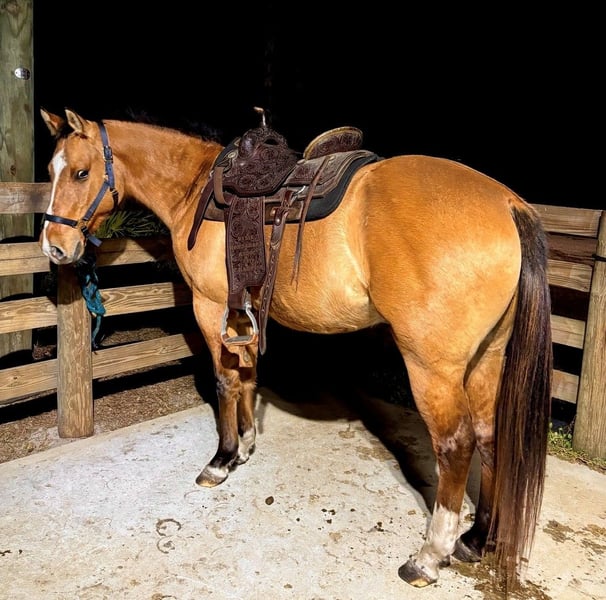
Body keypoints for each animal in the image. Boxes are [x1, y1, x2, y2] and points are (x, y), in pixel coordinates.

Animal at [39, 107, 552, 593]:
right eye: (51, 169)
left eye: (81, 173)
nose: (55, 247)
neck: (196, 190)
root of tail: (507, 204)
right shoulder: (239, 312)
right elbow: (246, 377)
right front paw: (245, 445)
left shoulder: (209, 306)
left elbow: (224, 381)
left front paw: (222, 459)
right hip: (488, 358)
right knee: (489, 434)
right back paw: (476, 539)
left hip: (432, 368)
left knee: (455, 445)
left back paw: (429, 556)